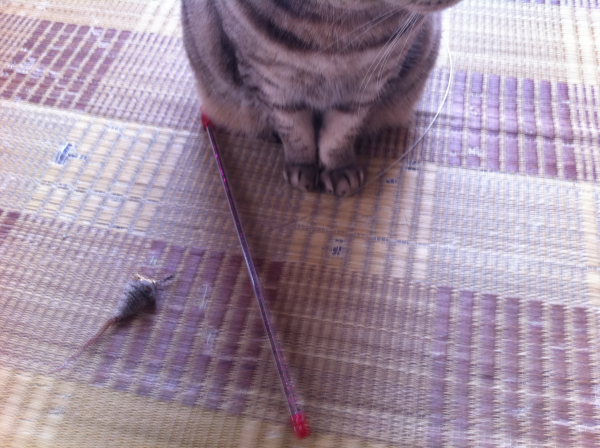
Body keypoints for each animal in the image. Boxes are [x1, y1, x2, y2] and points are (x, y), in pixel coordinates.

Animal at [181, 0, 461, 196]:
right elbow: (295, 131)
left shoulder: (368, 83)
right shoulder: (271, 80)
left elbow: (340, 133)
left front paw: (338, 169)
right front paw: (302, 168)